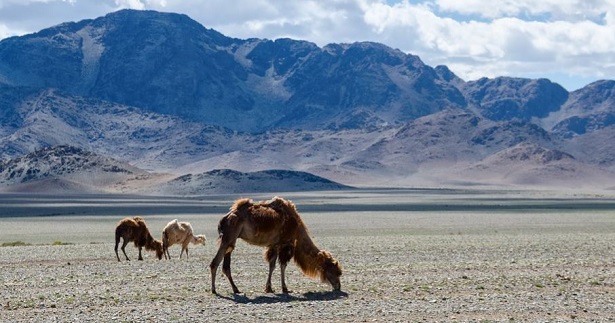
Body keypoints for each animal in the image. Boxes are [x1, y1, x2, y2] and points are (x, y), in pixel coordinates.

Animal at [211, 197, 344, 296]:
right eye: (334, 271)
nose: (338, 286)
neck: (297, 227)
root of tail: (224, 218)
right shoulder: (285, 243)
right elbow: (282, 265)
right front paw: (285, 288)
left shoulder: (274, 244)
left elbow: (272, 265)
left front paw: (269, 288)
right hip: (229, 237)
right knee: (215, 262)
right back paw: (215, 290)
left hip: (231, 239)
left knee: (225, 265)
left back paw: (235, 289)